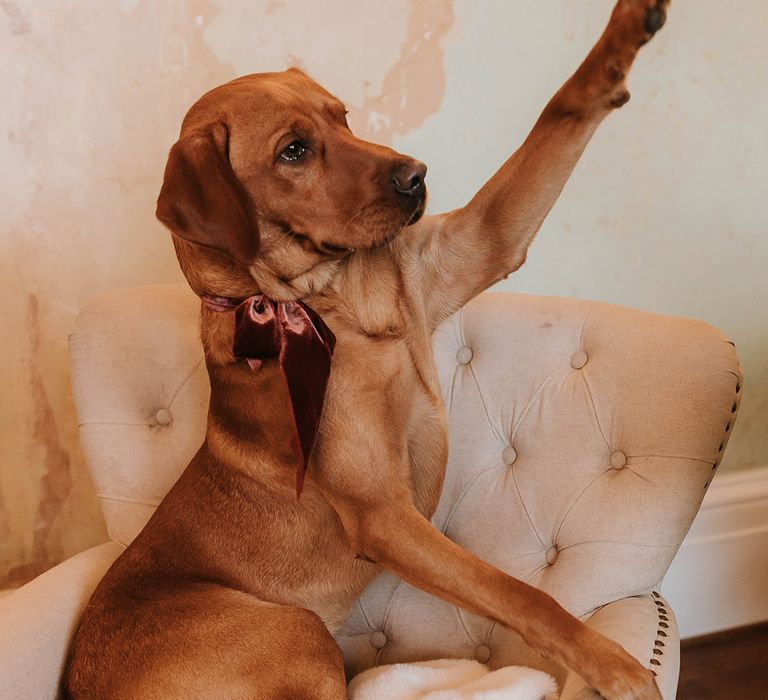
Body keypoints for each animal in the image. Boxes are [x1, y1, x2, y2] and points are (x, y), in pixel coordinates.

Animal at [66, 2, 672, 696]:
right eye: (293, 151)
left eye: (345, 118)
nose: (417, 176)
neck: (330, 304)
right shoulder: (385, 515)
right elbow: (520, 594)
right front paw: (611, 663)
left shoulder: (478, 244)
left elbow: (560, 110)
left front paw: (622, 40)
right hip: (298, 629)